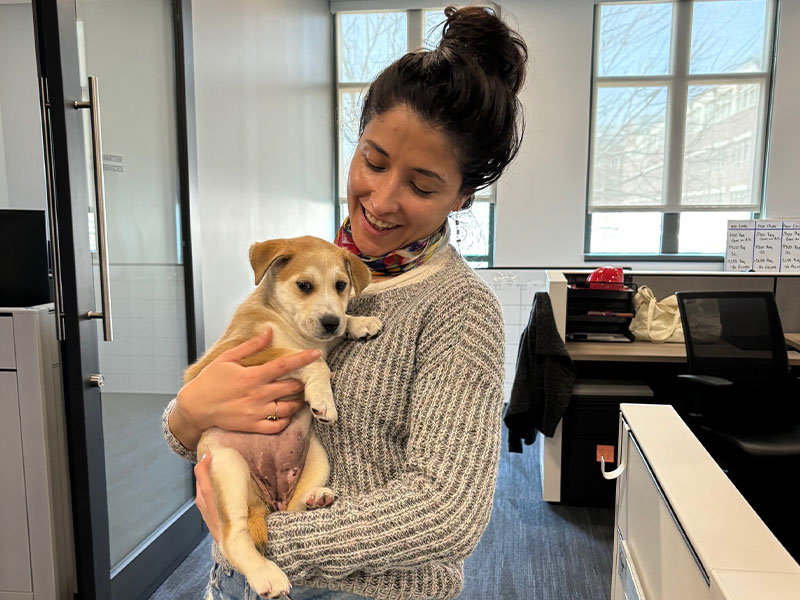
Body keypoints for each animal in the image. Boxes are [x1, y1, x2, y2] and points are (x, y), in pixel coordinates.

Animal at [184, 235, 382, 598]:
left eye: (341, 285)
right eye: (304, 285)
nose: (330, 321)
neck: (288, 323)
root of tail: (266, 499)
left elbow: (322, 346)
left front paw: (357, 322)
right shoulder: (233, 355)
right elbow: (306, 358)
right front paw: (323, 399)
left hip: (318, 458)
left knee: (291, 512)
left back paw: (317, 499)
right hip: (227, 467)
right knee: (234, 536)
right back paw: (266, 574)